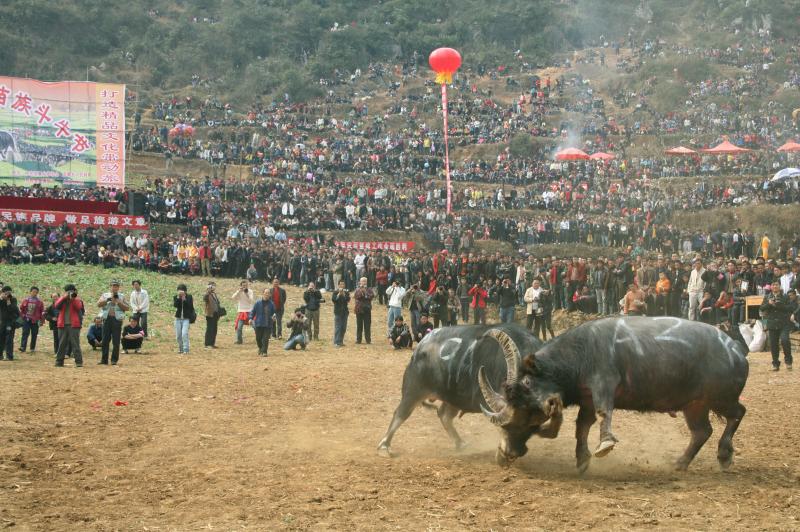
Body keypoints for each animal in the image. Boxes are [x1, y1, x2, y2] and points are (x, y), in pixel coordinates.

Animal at [376, 322, 552, 456]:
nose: (515, 452)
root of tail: (420, 348)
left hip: (452, 397)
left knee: (443, 415)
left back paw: (460, 443)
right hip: (413, 390)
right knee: (400, 414)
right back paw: (384, 446)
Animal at [482, 314, 752, 472]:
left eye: (527, 383)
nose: (506, 453)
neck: (582, 351)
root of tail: (736, 349)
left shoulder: (604, 385)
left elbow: (604, 412)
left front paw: (604, 444)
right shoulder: (587, 399)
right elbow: (582, 425)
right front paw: (581, 459)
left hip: (721, 398)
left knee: (738, 413)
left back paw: (724, 455)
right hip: (695, 405)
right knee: (702, 431)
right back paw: (680, 463)